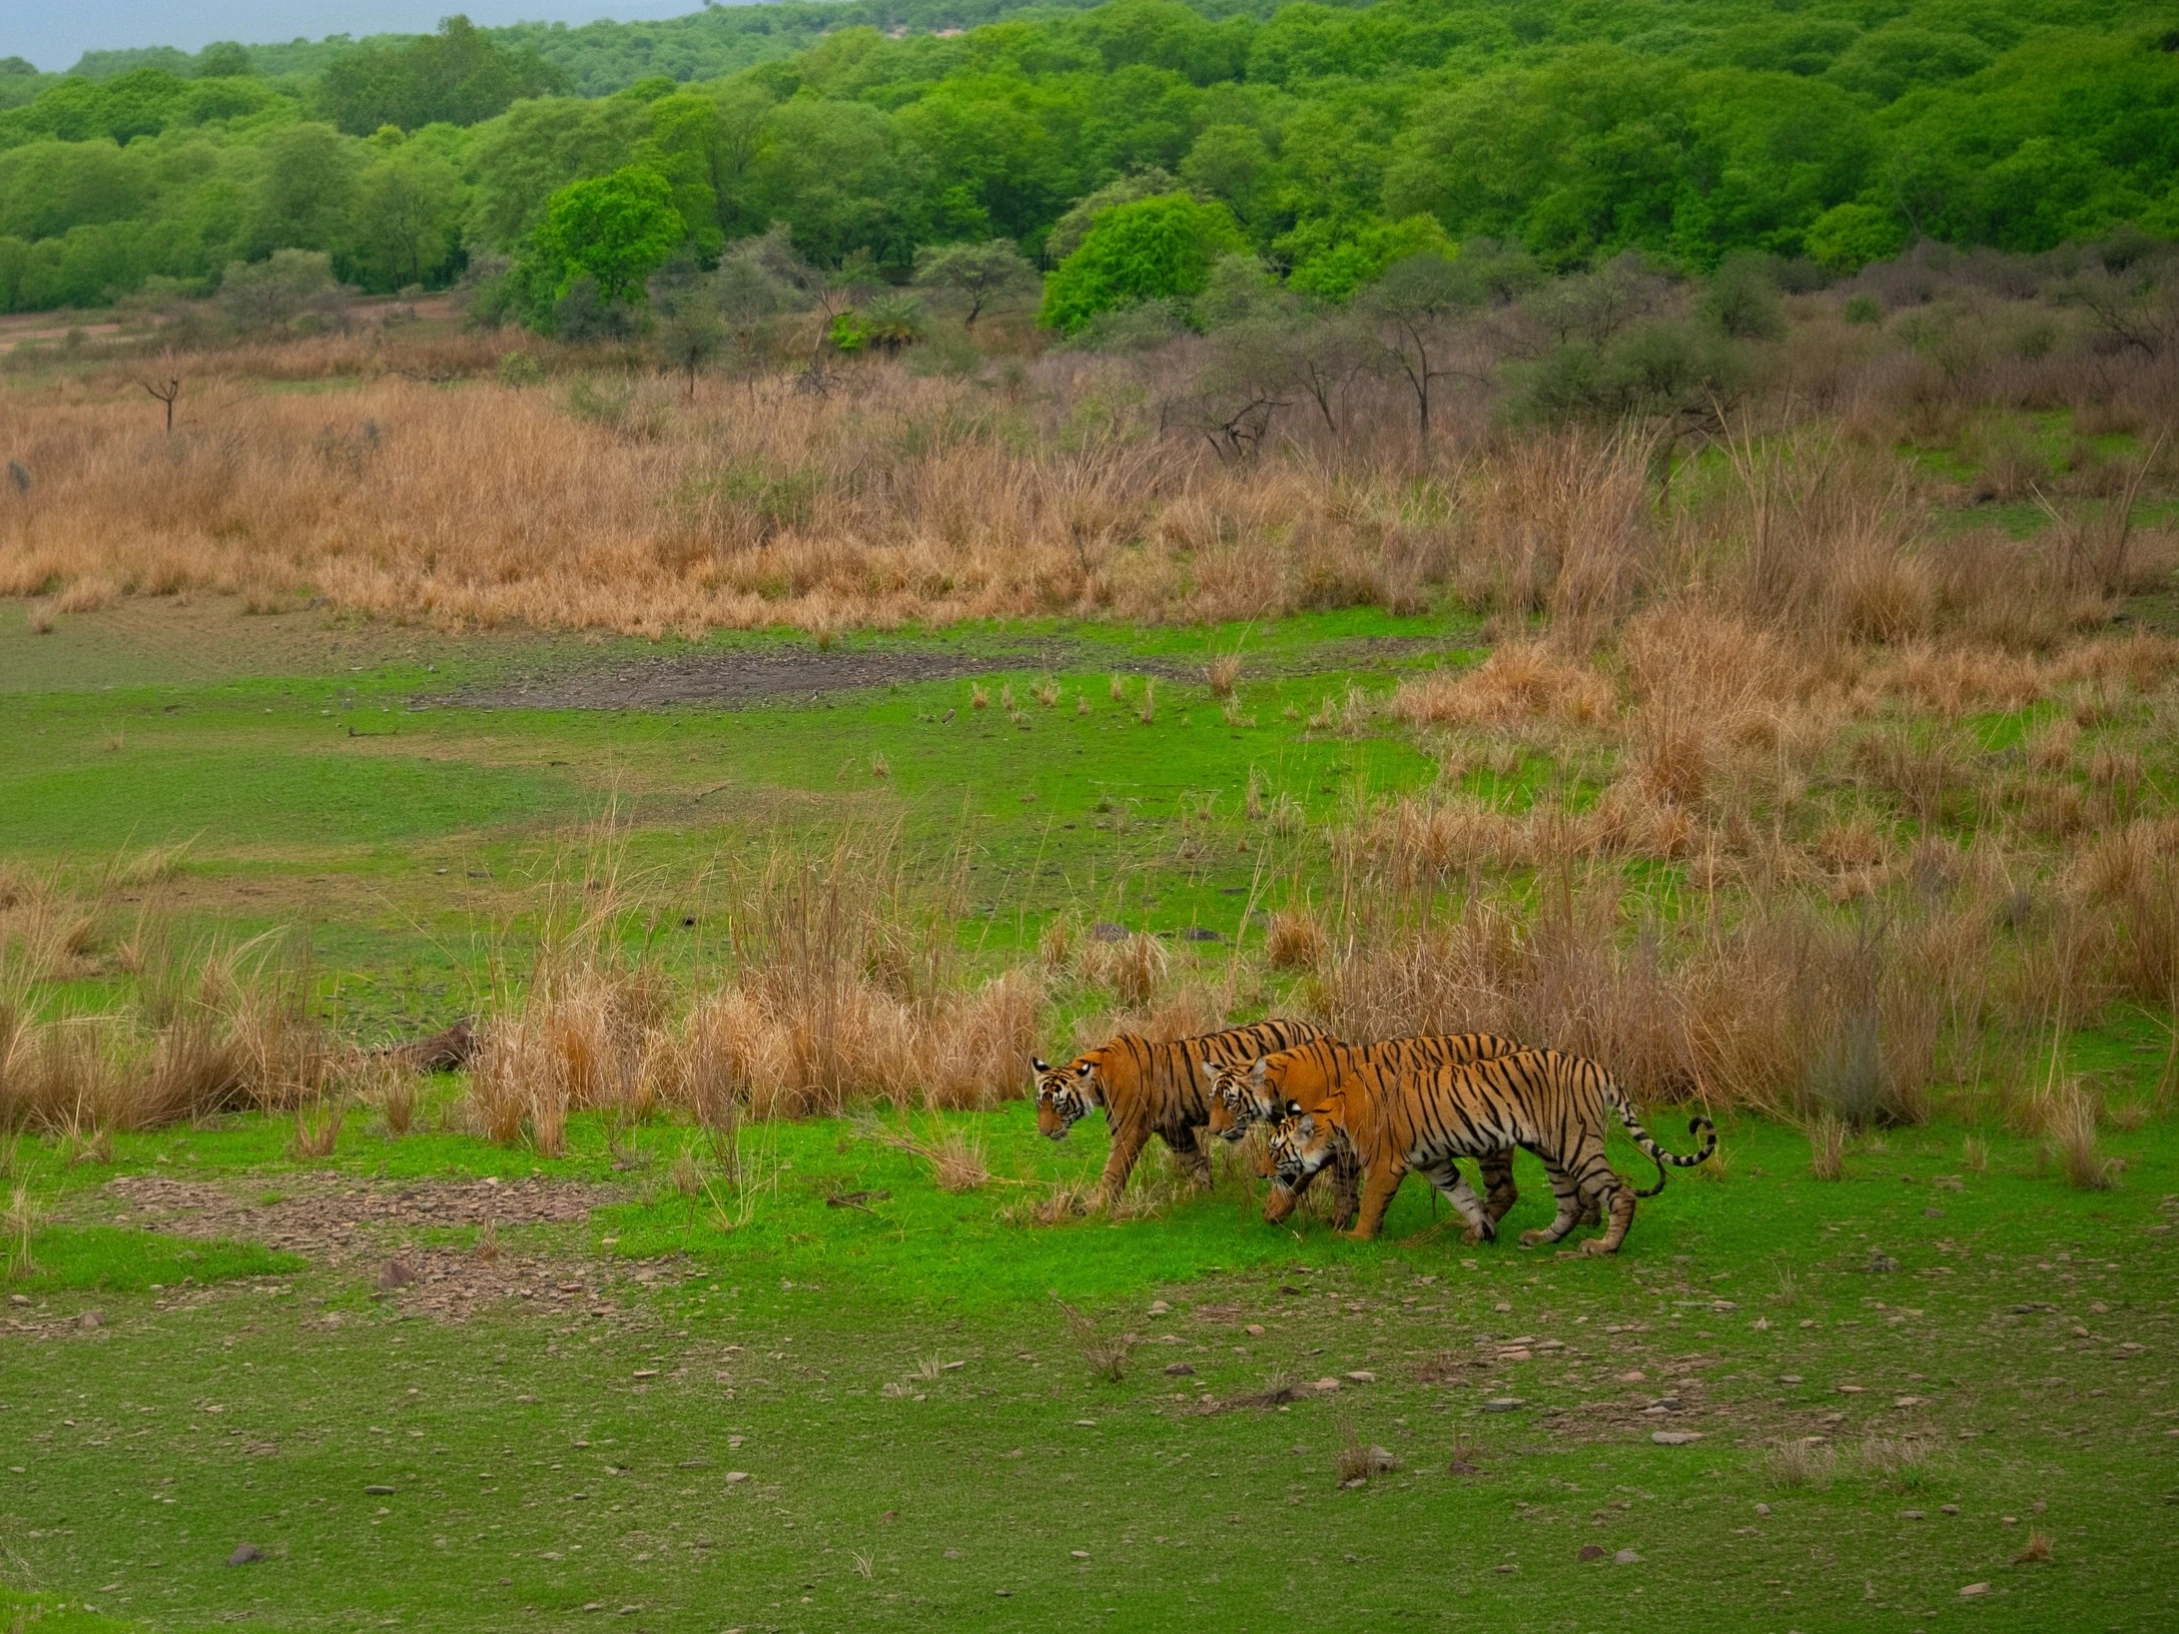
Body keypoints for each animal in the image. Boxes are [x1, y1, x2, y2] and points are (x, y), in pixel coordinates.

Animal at [1030, 1018, 1324, 1204]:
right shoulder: (1173, 1127)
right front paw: (1206, 1194)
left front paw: (1098, 1207)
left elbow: (1113, 1171)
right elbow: (1195, 1161)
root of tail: (1314, 1026)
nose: (1044, 1132)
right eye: (1039, 1103)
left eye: (1058, 1104)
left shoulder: (1129, 1131)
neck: (1099, 1080)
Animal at [1202, 1033, 1548, 1231]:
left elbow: (1312, 1179)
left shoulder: (1326, 1140)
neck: (1277, 1087)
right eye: (1213, 1098)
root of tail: (1519, 1044)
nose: (1213, 1130)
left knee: (1504, 1190)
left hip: (1490, 1140)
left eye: (1230, 1101)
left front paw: (1282, 1212)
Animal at [1265, 1046, 1715, 1254]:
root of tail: (1597, 1067)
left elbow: (1373, 1202)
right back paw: (1542, 1238)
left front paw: (1355, 1236)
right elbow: (1463, 1196)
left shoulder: (1385, 1163)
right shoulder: (1437, 1162)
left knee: (1619, 1193)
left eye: (1276, 1150)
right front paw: (1481, 1229)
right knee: (1569, 1203)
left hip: (1575, 1143)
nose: (1262, 1173)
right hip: (1551, 1151)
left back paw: (1604, 1246)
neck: (1335, 1114)